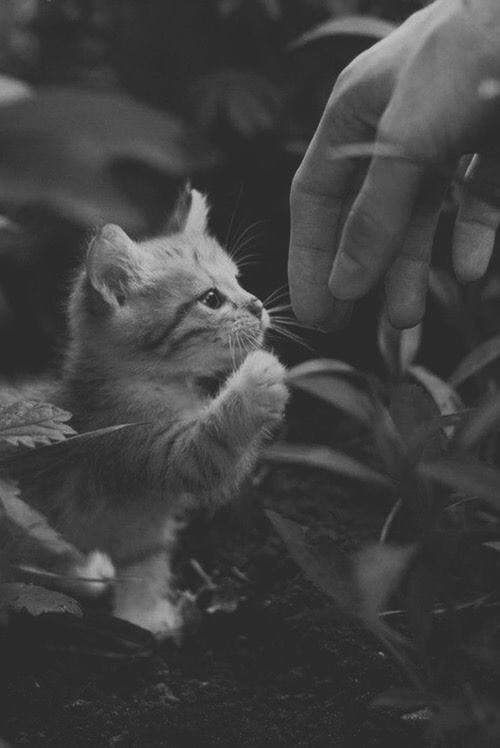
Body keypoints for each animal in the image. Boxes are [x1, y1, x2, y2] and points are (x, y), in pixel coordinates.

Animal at [9, 188, 288, 636]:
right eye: (212, 299)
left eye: (239, 279)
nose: (258, 305)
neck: (153, 381)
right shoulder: (145, 446)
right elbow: (212, 448)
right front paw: (257, 376)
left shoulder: (146, 526)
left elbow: (147, 563)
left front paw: (147, 614)